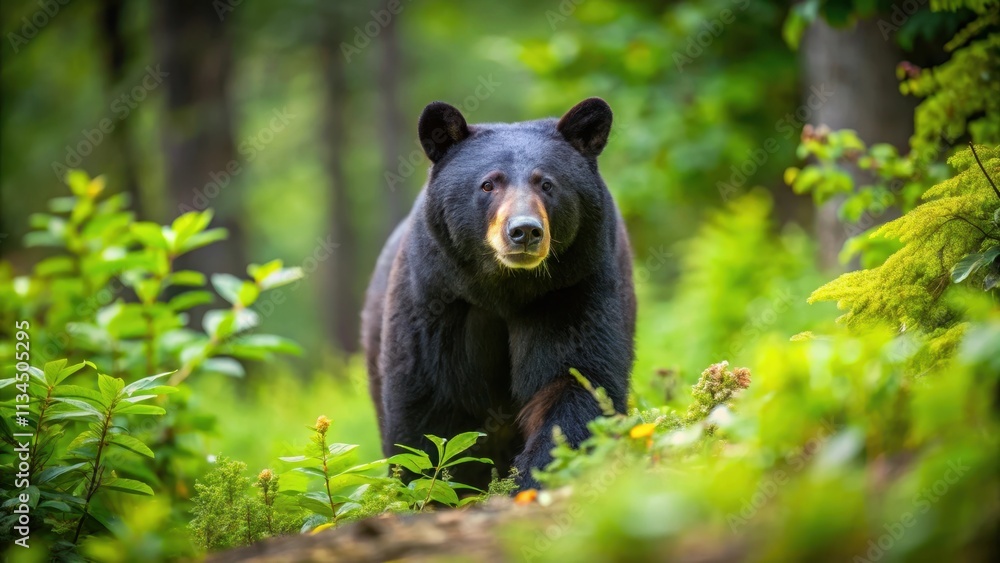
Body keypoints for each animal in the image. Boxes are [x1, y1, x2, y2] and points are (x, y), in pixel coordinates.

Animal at [361, 98, 635, 490]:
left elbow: (577, 379)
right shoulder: (437, 295)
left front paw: (532, 479)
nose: (524, 231)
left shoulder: (574, 286)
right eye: (488, 184)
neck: (506, 287)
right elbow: (425, 401)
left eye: (547, 183)